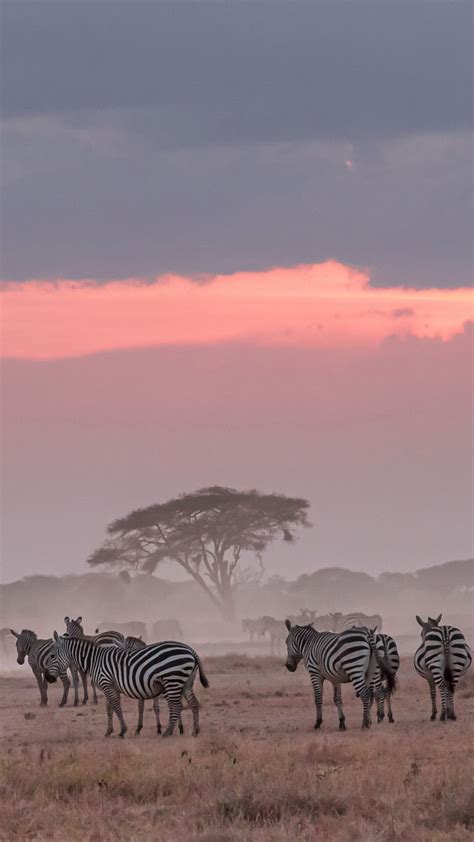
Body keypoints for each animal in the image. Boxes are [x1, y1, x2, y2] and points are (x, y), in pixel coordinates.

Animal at [45, 632, 209, 736]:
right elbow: (109, 708)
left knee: (177, 706)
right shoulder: (110, 686)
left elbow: (116, 706)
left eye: (52, 656)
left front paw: (123, 730)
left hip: (172, 679)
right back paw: (195, 731)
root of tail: (190, 649)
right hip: (185, 682)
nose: (47, 678)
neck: (94, 660)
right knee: (193, 703)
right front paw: (109, 731)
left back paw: (168, 732)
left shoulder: (106, 683)